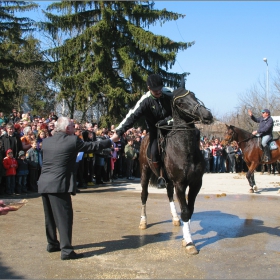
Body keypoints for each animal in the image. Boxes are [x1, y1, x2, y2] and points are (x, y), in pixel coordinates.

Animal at [139, 88, 213, 255]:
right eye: (180, 103)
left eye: (194, 96)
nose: (207, 114)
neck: (185, 148)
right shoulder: (180, 184)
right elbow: (185, 211)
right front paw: (190, 243)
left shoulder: (196, 183)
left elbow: (190, 210)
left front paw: (186, 238)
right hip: (145, 172)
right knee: (144, 195)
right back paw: (143, 221)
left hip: (168, 180)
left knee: (169, 195)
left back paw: (174, 218)